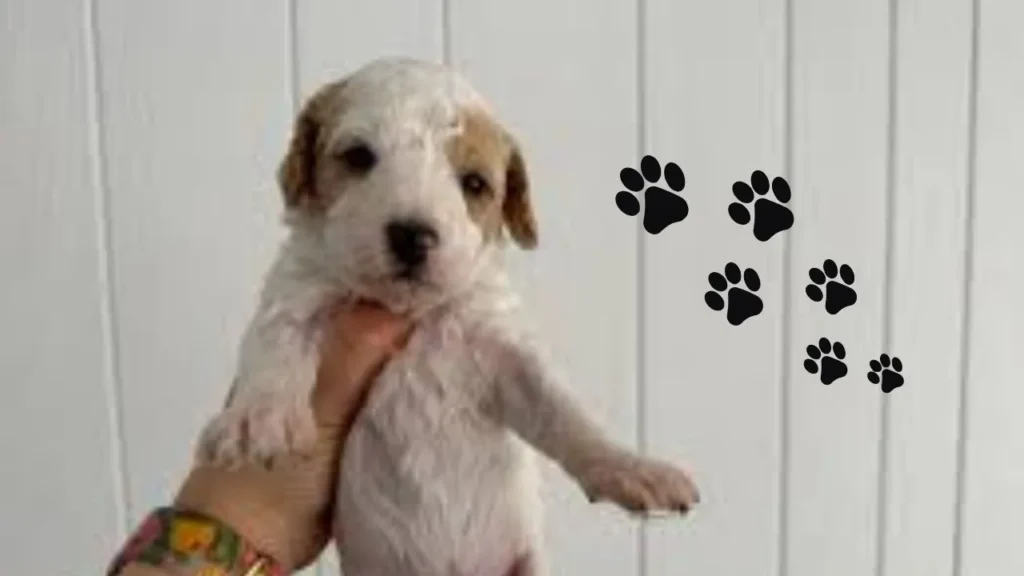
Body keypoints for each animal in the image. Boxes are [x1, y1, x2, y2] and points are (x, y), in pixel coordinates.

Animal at [195, 57, 700, 573]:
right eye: (358, 157)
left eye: (474, 183)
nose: (413, 236)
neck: (413, 312)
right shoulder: (297, 293)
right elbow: (278, 345)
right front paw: (258, 419)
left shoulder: (502, 349)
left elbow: (564, 410)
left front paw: (631, 467)